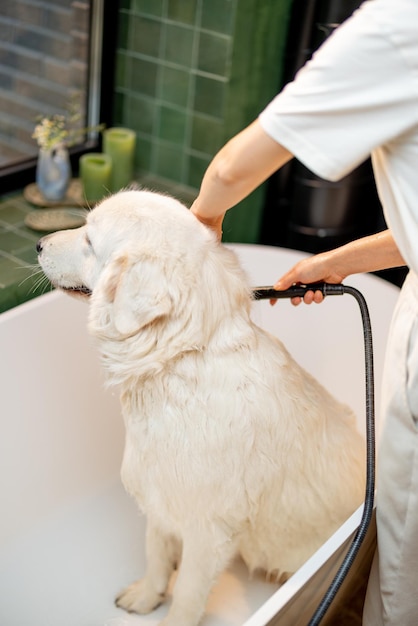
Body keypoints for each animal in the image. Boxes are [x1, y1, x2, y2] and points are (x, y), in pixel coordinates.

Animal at [37, 189, 364, 624]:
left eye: (90, 241)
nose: (38, 245)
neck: (179, 361)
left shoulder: (208, 531)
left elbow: (188, 595)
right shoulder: (159, 496)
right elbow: (156, 557)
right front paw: (146, 596)